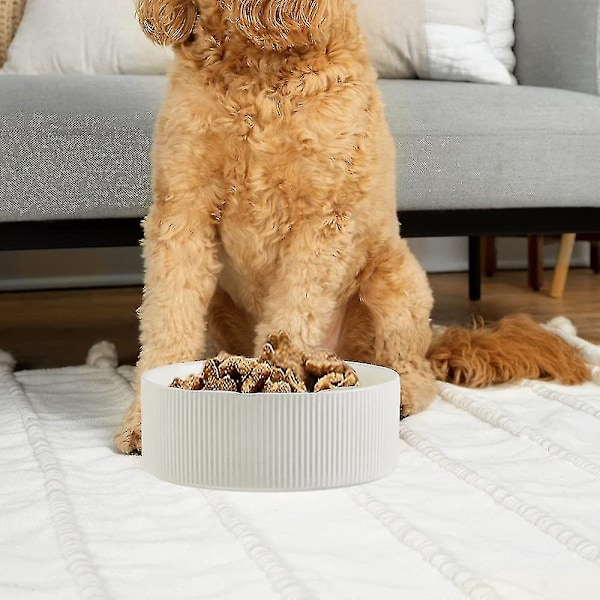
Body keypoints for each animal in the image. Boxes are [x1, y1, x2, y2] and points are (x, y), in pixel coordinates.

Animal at [115, 0, 588, 452]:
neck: (258, 66)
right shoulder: (182, 211)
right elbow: (166, 325)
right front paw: (147, 424)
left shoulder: (320, 222)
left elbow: (291, 319)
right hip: (220, 302)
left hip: (393, 284)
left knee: (416, 372)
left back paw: (401, 396)